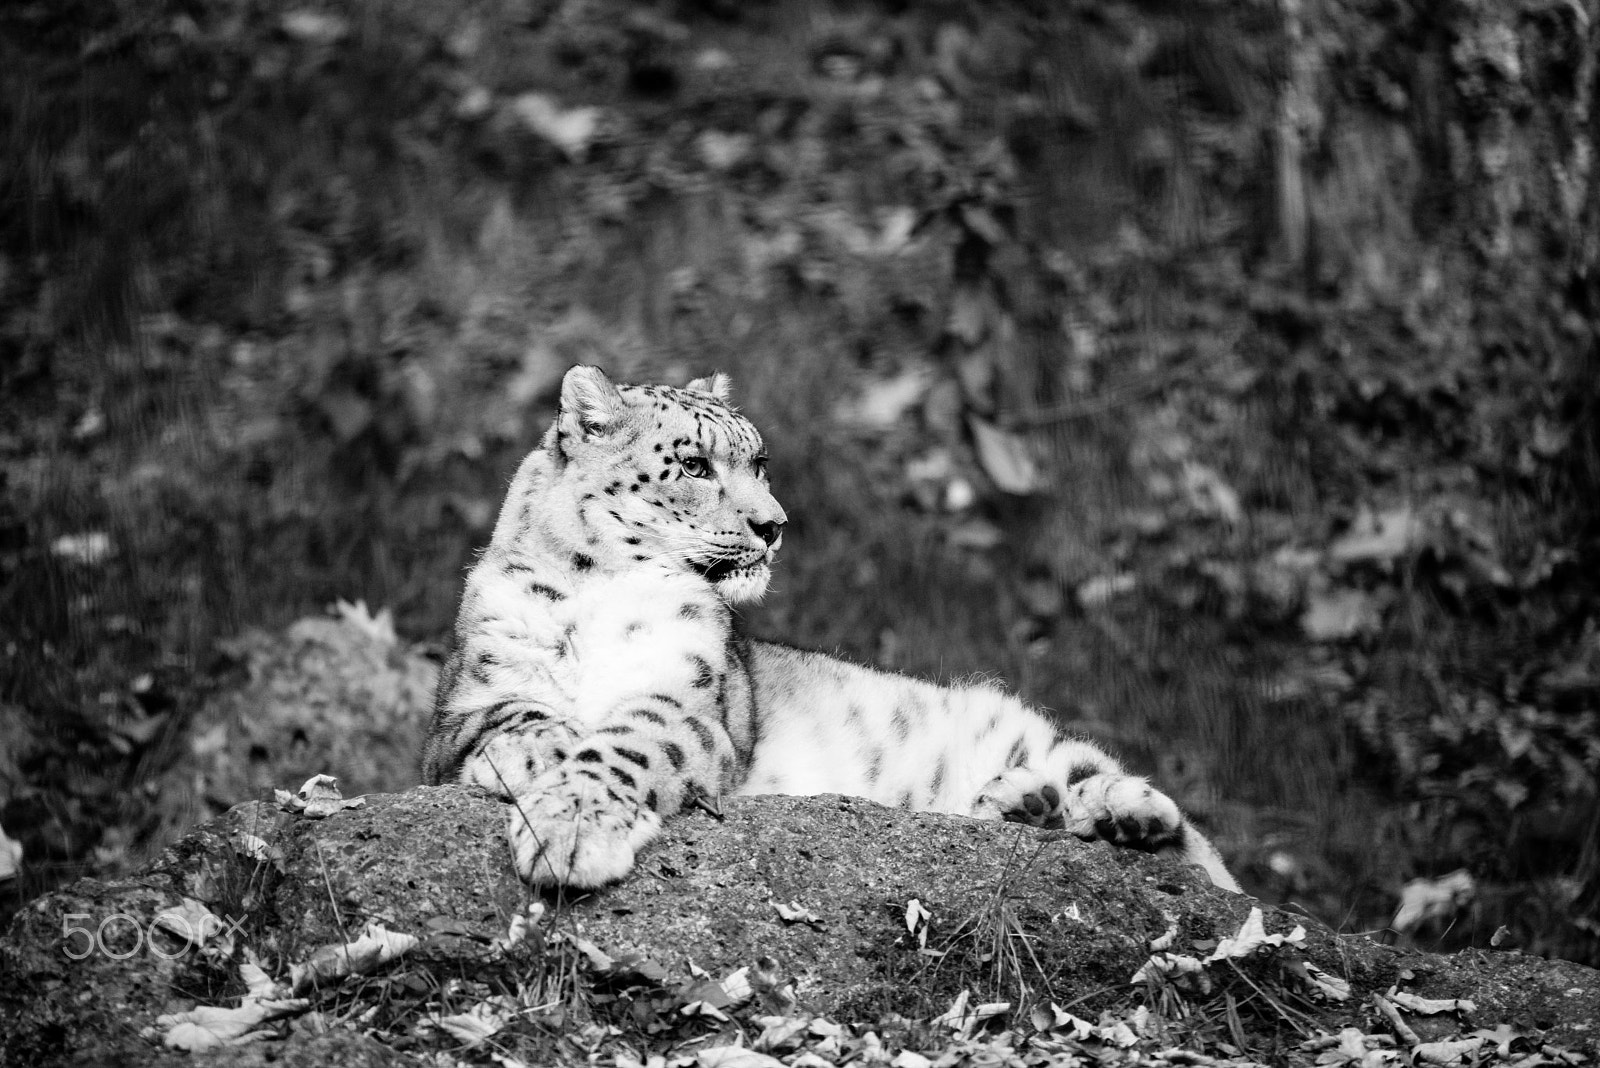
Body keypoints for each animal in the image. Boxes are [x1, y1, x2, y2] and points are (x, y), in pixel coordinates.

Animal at [422, 364, 1240, 894]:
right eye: (693, 464)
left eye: (759, 461)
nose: (774, 524)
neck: (600, 591)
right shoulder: (461, 702)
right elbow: (509, 715)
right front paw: (547, 750)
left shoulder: (691, 706)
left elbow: (628, 741)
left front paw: (572, 830)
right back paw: (1022, 805)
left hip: (1030, 733)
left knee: (1206, 859)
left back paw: (1121, 813)